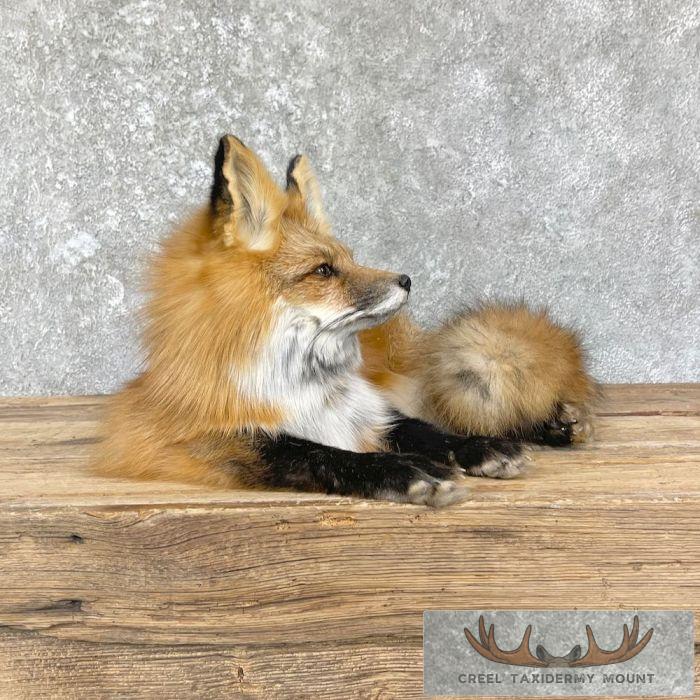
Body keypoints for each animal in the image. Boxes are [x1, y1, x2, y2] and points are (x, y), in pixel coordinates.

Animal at [94, 135, 597, 506]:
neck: (306, 388)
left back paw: (552, 425)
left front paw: (478, 447)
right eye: (323, 270)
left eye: (349, 260)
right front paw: (398, 472)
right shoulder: (179, 443)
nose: (406, 279)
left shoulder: (371, 405)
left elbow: (422, 429)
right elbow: (307, 451)